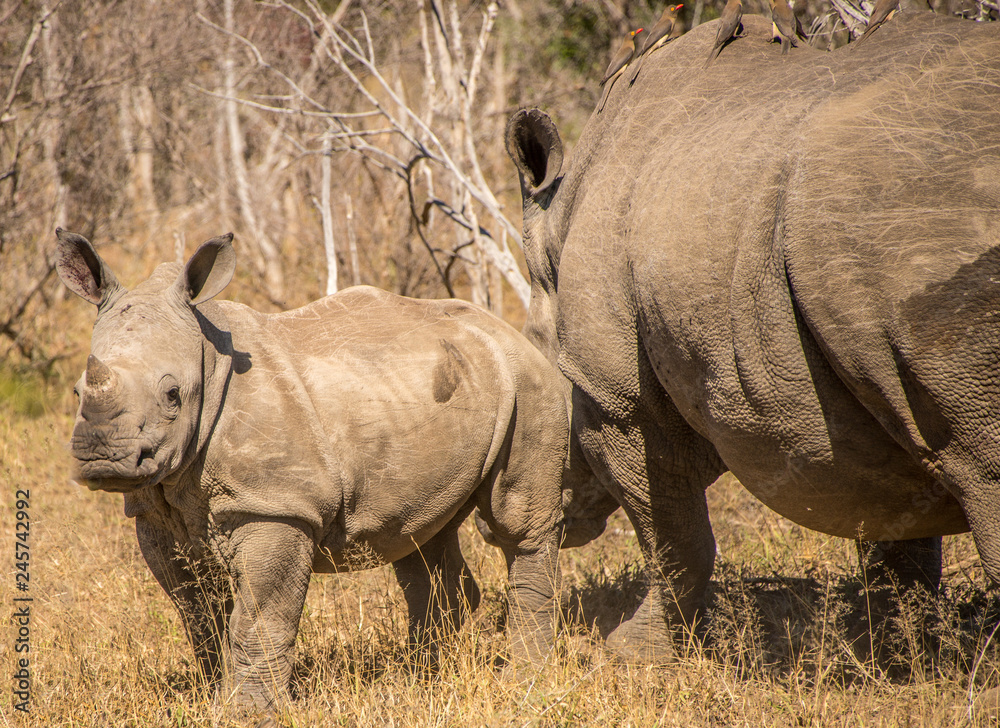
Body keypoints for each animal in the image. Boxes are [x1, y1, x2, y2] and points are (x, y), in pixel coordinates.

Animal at [55, 230, 568, 708]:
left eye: (171, 395)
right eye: (78, 391)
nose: (101, 456)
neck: (207, 354)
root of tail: (509, 330)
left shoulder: (277, 507)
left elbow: (261, 616)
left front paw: (248, 710)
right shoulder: (155, 512)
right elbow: (198, 615)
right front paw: (208, 696)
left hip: (529, 384)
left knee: (516, 524)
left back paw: (524, 682)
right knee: (419, 534)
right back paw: (421, 679)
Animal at [504, 11, 1000, 662]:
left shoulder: (616, 393)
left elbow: (672, 534)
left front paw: (629, 655)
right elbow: (898, 538)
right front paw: (897, 654)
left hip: (919, 218)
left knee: (985, 471)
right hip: (882, 216)